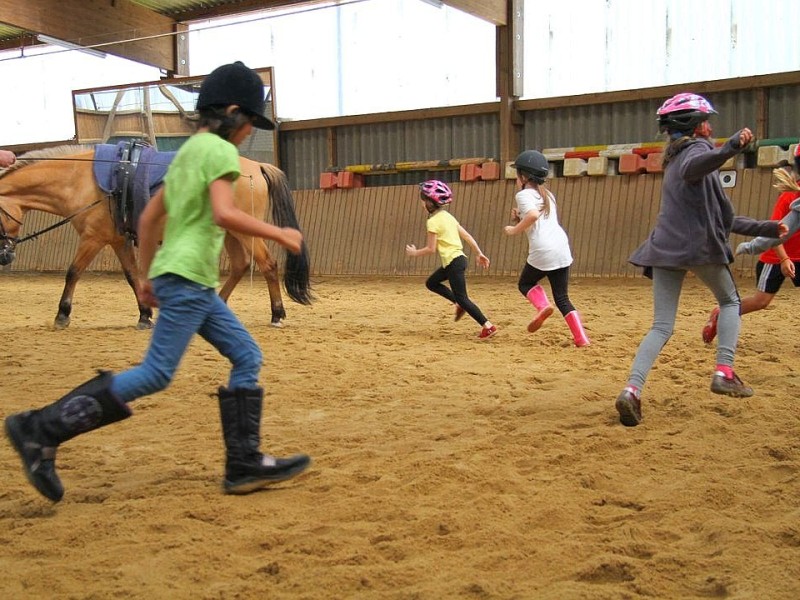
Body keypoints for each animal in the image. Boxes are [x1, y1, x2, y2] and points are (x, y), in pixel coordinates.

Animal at [0, 144, 312, 328]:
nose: (5, 256)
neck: (78, 180)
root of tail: (256, 167)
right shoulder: (118, 240)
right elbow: (132, 276)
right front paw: (144, 315)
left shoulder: (93, 238)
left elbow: (73, 272)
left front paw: (62, 315)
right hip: (231, 232)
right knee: (240, 265)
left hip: (244, 231)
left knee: (267, 264)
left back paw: (277, 314)